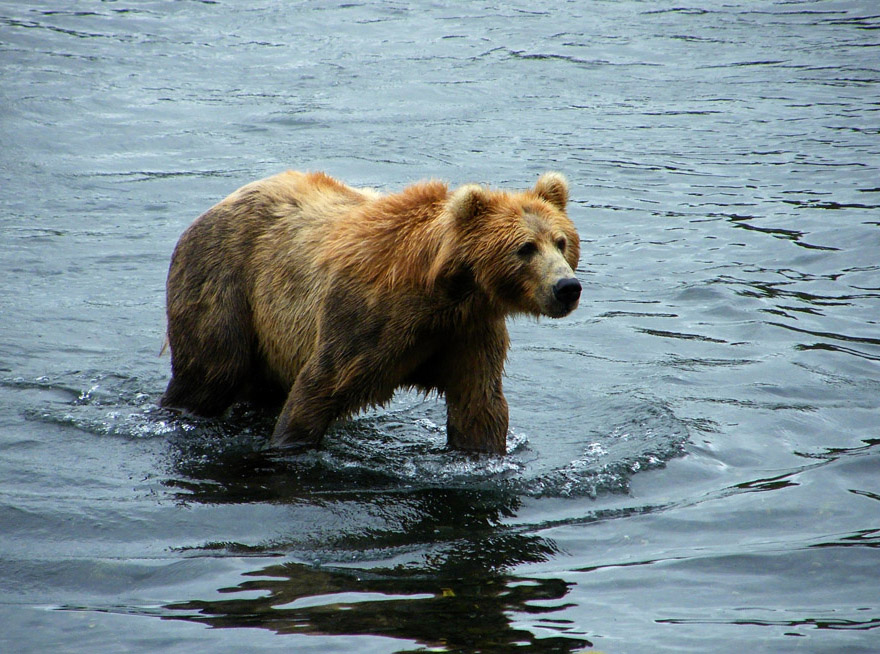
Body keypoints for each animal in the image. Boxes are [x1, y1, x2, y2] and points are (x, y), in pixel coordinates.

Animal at [162, 170, 580, 456]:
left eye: (561, 242)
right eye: (525, 248)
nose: (567, 287)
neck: (444, 290)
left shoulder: (468, 331)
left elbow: (479, 407)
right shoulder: (364, 321)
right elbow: (317, 389)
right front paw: (288, 442)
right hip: (224, 285)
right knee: (210, 372)